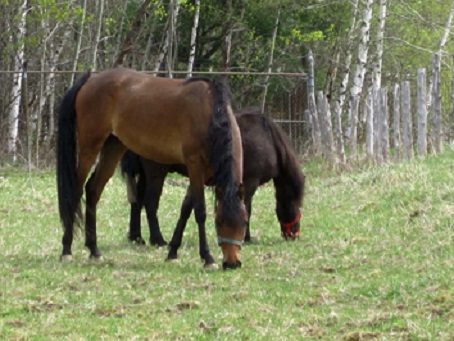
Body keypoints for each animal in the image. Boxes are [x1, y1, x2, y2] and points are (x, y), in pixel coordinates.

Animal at [57, 67, 248, 268]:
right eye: (219, 221)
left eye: (244, 222)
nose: (232, 263)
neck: (210, 114)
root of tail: (90, 78)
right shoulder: (195, 165)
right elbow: (200, 211)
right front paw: (207, 257)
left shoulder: (202, 174)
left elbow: (185, 210)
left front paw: (173, 251)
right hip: (90, 147)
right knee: (76, 191)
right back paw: (66, 250)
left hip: (113, 147)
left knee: (93, 190)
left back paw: (94, 249)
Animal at [120, 109, 306, 258]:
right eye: (295, 204)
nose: (294, 234)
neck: (268, 139)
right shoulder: (249, 183)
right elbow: (247, 209)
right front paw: (246, 237)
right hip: (156, 172)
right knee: (150, 203)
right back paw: (157, 239)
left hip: (145, 174)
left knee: (137, 203)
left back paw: (137, 237)